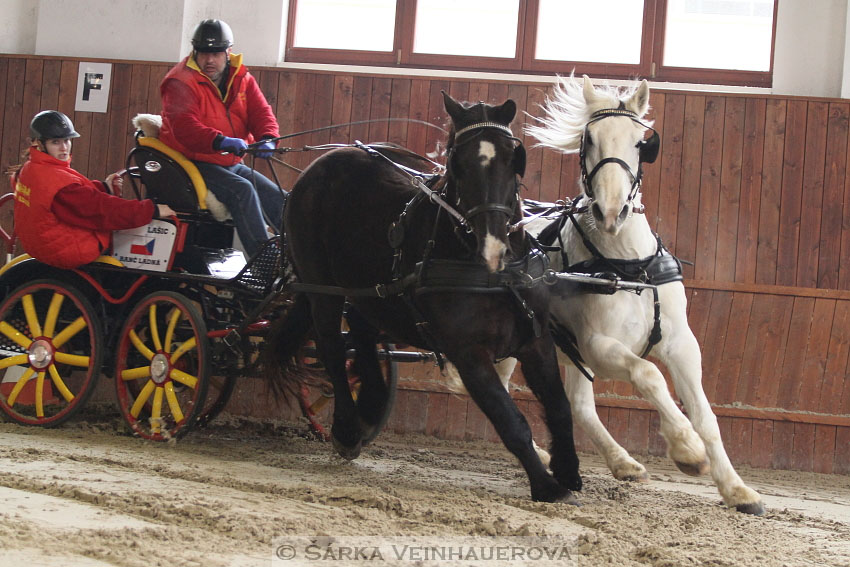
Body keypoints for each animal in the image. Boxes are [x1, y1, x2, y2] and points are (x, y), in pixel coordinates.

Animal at [268, 94, 580, 506]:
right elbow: (510, 420)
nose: (493, 245)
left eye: (512, 156)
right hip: (321, 287)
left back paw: (371, 404)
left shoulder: (536, 339)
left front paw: (568, 471)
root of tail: (323, 163)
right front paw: (547, 486)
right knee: (332, 346)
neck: (492, 274)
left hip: (372, 290)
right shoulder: (469, 353)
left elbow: (559, 406)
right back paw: (347, 429)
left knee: (363, 335)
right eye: (457, 162)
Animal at [520, 74, 764, 516]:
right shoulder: (598, 344)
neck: (627, 265)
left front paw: (737, 489)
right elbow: (649, 374)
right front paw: (687, 449)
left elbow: (706, 415)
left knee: (579, 404)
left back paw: (621, 463)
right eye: (589, 140)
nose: (610, 211)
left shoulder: (681, 345)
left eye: (641, 143)